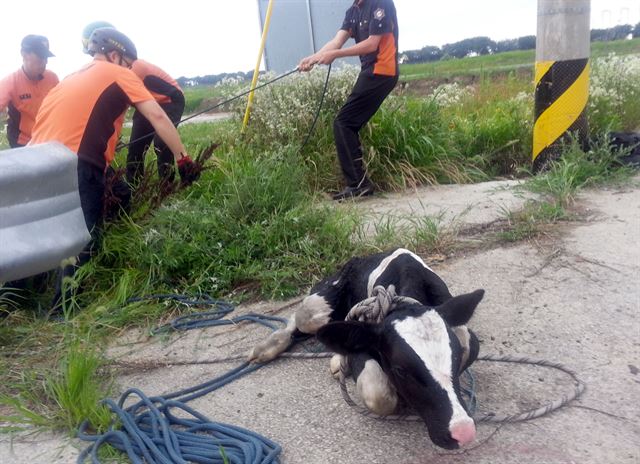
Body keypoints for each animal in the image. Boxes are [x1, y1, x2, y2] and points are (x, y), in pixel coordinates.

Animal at [248, 250, 482, 450]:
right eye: (400, 370)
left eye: (456, 357)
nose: (463, 432)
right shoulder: (365, 338)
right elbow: (377, 393)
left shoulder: (467, 337)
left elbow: (466, 342)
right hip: (316, 306)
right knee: (297, 319)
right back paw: (267, 348)